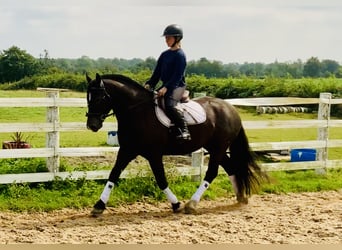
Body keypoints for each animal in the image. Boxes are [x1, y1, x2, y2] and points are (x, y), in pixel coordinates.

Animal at [85, 73, 268, 216]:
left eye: (100, 98)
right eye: (88, 98)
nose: (92, 125)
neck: (137, 112)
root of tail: (230, 108)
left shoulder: (154, 154)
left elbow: (161, 179)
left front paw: (176, 204)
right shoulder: (127, 150)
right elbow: (113, 175)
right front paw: (99, 206)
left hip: (218, 148)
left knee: (212, 172)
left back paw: (192, 204)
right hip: (216, 148)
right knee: (230, 167)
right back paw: (241, 197)